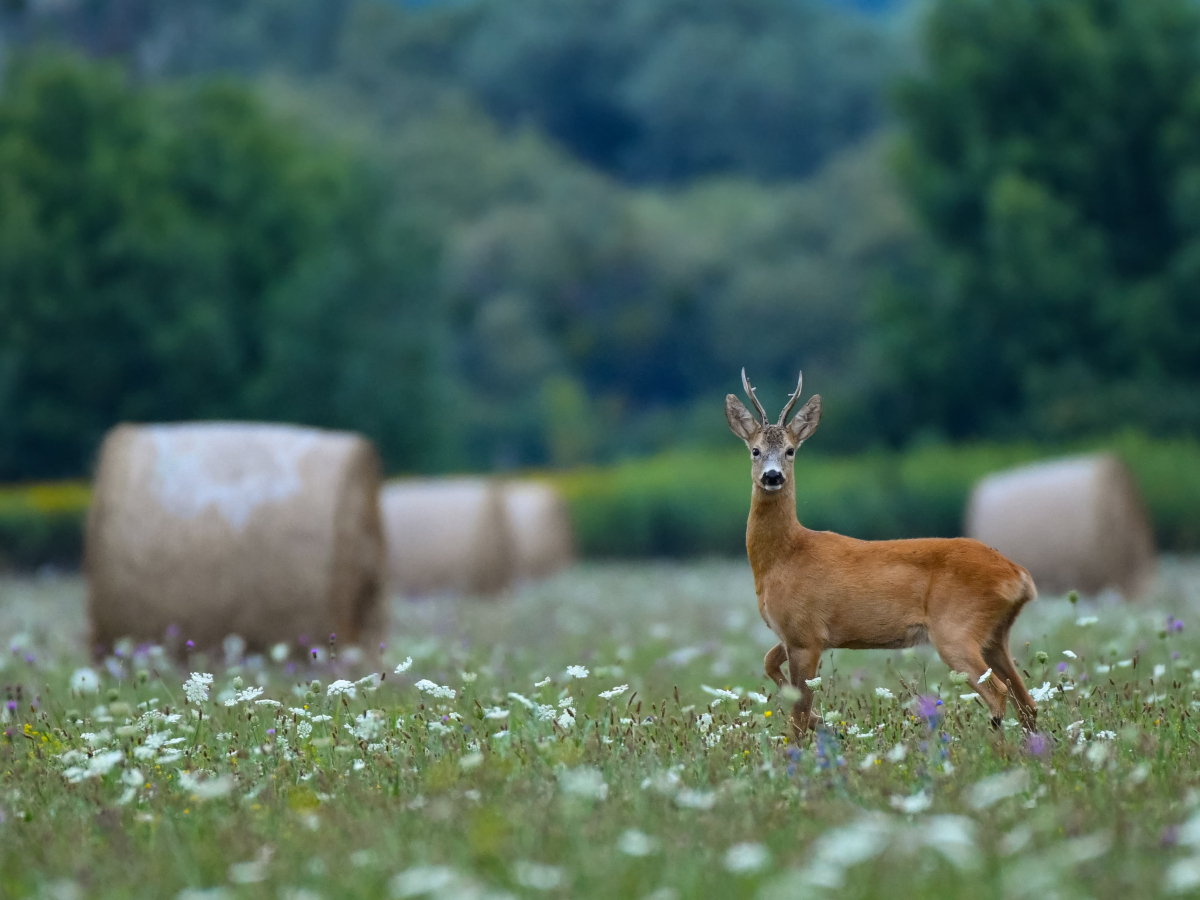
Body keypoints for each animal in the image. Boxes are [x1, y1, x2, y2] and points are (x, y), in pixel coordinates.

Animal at [724, 369, 1036, 744]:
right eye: (755, 450)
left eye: (790, 450)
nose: (773, 476)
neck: (783, 557)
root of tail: (1019, 576)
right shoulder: (795, 635)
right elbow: (771, 665)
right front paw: (825, 722)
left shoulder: (805, 634)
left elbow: (797, 714)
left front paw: (808, 740)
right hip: (994, 636)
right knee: (1027, 701)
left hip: (956, 629)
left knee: (999, 693)